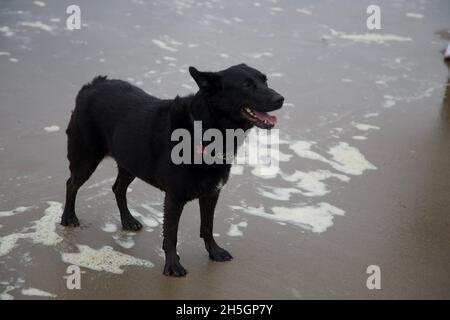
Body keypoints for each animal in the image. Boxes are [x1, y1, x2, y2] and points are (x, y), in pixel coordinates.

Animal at [62, 63, 284, 276]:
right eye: (246, 85)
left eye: (265, 81)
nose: (281, 98)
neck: (205, 130)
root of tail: (92, 85)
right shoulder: (174, 198)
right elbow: (171, 235)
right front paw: (172, 265)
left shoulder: (211, 194)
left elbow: (207, 226)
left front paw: (214, 251)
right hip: (86, 159)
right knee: (71, 184)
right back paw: (68, 217)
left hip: (130, 162)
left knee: (118, 188)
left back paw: (128, 221)